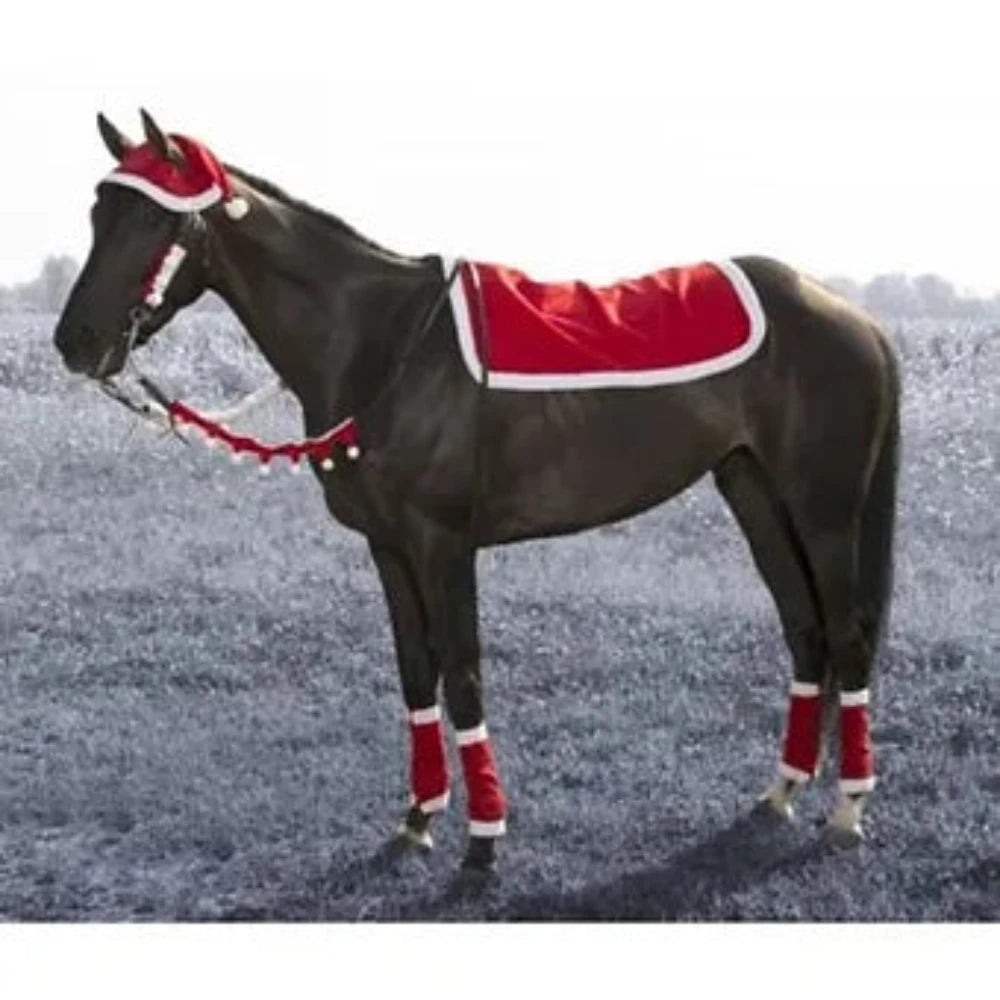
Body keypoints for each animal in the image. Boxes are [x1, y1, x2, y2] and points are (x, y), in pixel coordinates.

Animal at [54, 110, 900, 875]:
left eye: (152, 218)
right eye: (98, 211)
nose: (76, 343)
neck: (381, 342)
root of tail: (853, 317)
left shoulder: (443, 544)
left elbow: (462, 675)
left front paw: (484, 840)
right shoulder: (389, 548)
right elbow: (415, 673)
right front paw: (418, 820)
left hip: (823, 510)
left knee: (847, 635)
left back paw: (847, 809)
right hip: (753, 492)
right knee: (807, 633)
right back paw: (783, 791)